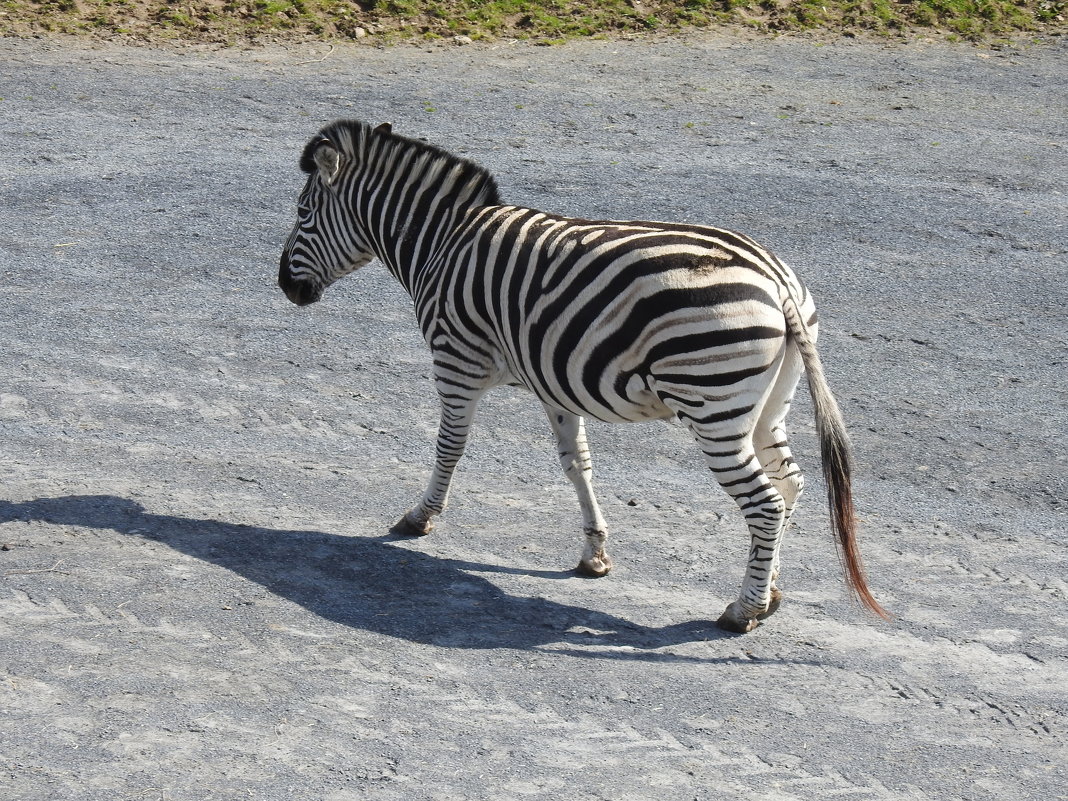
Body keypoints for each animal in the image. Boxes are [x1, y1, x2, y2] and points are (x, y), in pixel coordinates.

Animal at [275, 119, 884, 632]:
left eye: (303, 213)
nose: (285, 287)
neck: (442, 243)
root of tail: (776, 280)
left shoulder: (456, 360)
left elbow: (449, 447)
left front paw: (420, 517)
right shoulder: (554, 379)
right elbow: (577, 465)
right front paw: (594, 553)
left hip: (713, 408)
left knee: (765, 502)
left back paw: (743, 610)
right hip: (766, 404)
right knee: (789, 485)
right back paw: (771, 590)